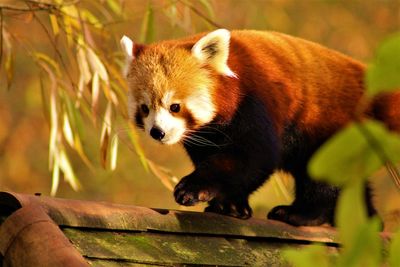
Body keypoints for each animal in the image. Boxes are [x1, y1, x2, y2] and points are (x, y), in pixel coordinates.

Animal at [119, 29, 400, 226]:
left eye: (174, 106)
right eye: (145, 108)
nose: (158, 132)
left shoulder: (255, 100)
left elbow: (252, 157)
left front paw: (195, 188)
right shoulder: (207, 133)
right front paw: (230, 205)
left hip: (332, 125)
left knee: (322, 172)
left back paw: (302, 214)